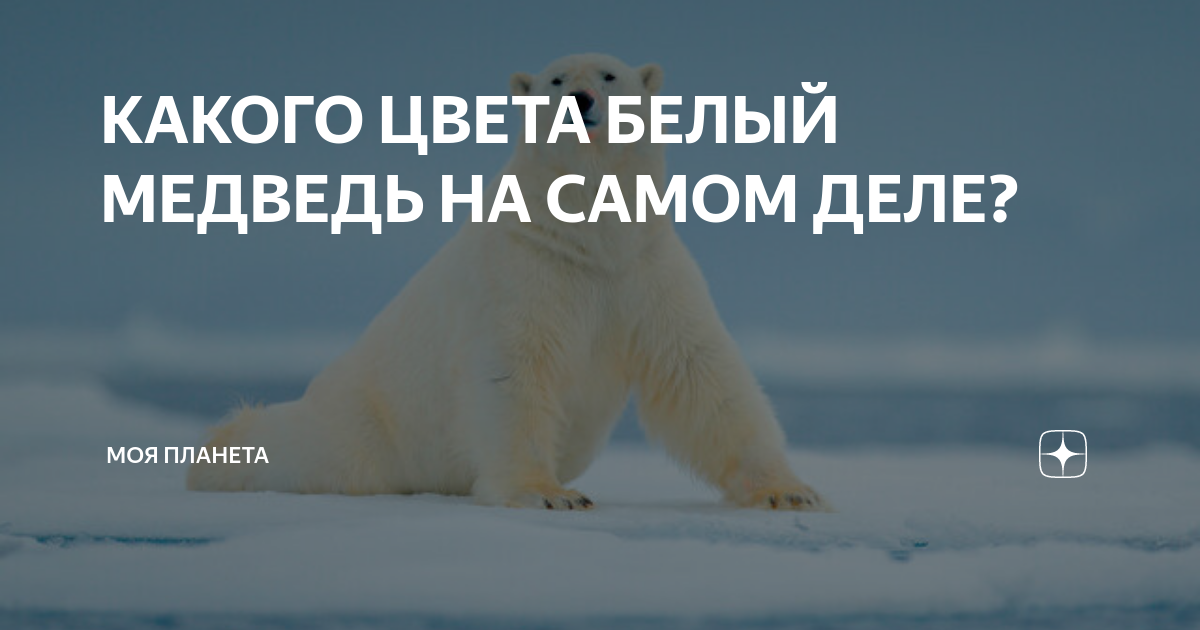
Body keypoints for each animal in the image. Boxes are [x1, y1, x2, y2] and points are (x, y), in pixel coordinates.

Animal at [187, 53, 828, 511]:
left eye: (610, 75)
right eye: (555, 78)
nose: (581, 98)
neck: (588, 235)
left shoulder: (645, 269)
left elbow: (701, 373)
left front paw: (790, 490)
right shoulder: (525, 269)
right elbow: (514, 370)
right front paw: (550, 494)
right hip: (367, 421)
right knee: (303, 448)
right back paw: (218, 450)